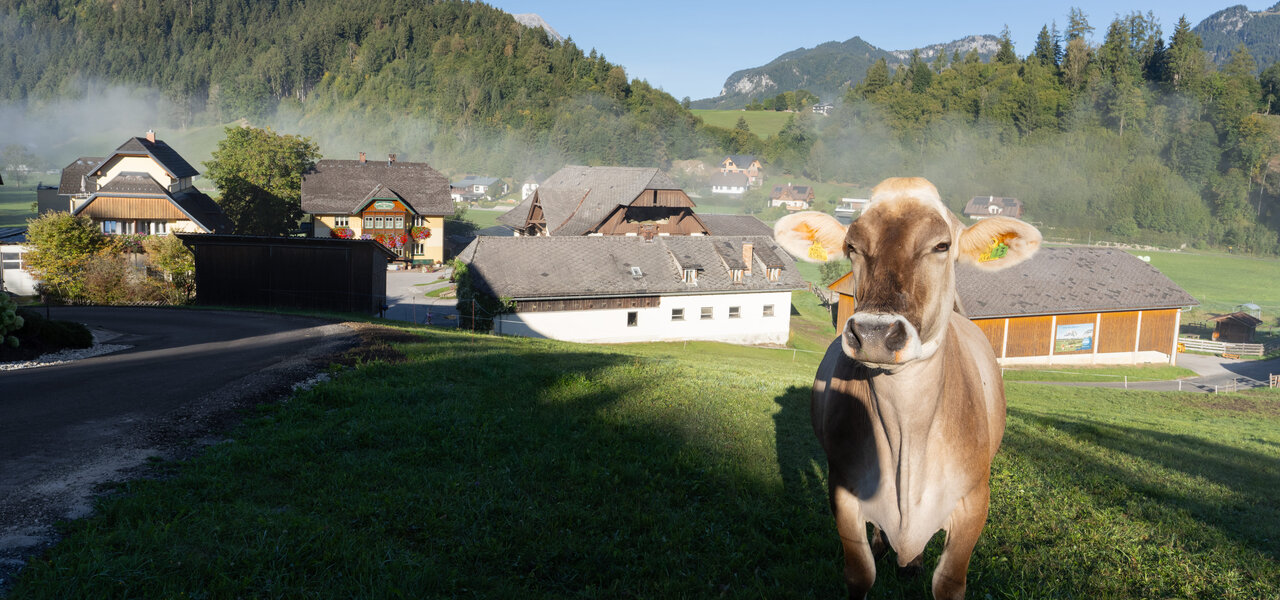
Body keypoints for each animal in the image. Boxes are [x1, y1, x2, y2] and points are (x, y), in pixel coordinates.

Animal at [774, 177, 1040, 600]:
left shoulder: (973, 502)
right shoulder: (844, 491)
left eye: (942, 245)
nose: (874, 333)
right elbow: (860, 573)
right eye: (852, 246)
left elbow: (948, 582)